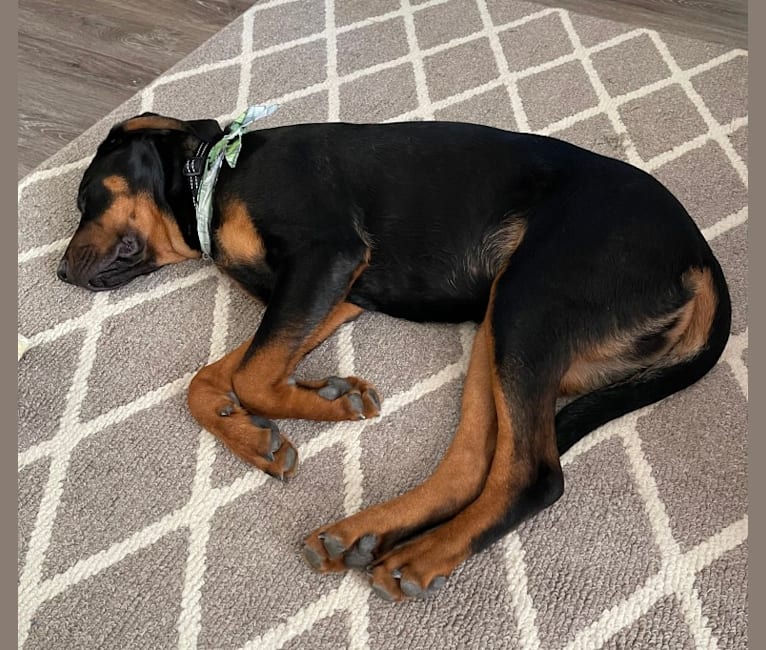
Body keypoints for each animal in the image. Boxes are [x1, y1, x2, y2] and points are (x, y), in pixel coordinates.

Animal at [58, 110, 732, 596]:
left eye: (88, 197)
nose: (60, 273)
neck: (215, 179)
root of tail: (699, 259)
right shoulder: (334, 295)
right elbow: (212, 376)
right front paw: (252, 434)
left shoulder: (326, 255)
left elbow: (251, 374)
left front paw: (329, 403)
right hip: (500, 321)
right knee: (473, 464)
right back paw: (366, 533)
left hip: (532, 297)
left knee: (532, 475)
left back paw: (420, 556)